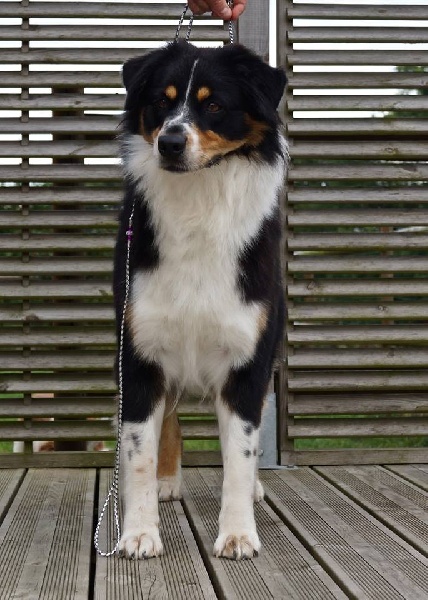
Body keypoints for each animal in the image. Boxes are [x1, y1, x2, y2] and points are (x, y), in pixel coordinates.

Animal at [114, 40, 287, 561]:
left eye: (213, 105)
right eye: (162, 101)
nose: (170, 143)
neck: (197, 200)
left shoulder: (246, 359)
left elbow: (240, 454)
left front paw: (238, 533)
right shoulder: (139, 352)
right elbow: (139, 453)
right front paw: (139, 532)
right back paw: (168, 481)